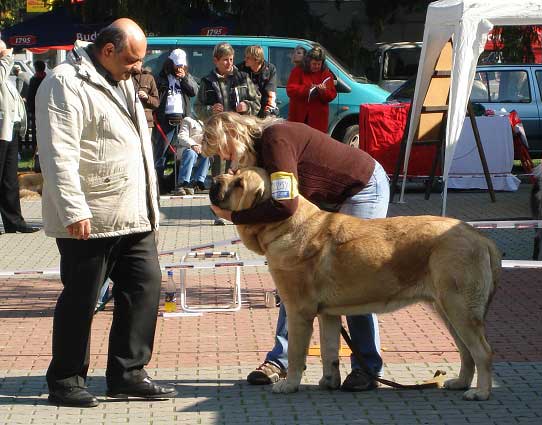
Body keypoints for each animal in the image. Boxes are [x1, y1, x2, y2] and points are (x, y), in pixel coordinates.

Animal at [211, 167, 502, 400]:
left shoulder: (298, 311)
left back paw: (480, 392)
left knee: (483, 352)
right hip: (447, 311)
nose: (214, 180)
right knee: (466, 352)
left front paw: (289, 384)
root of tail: (479, 236)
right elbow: (329, 350)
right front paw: (329, 382)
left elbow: (295, 352)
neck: (285, 224)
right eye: (232, 173)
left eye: (239, 184)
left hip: (459, 309)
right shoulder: (328, 314)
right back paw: (461, 382)